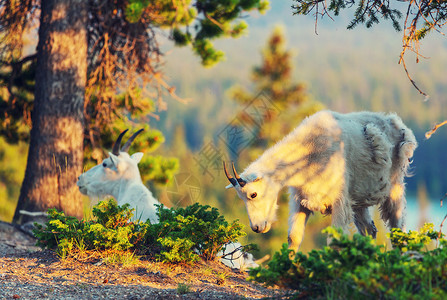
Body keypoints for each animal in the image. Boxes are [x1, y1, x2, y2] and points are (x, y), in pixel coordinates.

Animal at [226, 110, 418, 251]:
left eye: (253, 194)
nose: (257, 227)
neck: (310, 151)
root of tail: (398, 124)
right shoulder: (300, 199)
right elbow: (294, 237)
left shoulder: (339, 201)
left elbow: (333, 241)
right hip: (358, 200)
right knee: (370, 230)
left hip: (395, 187)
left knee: (398, 228)